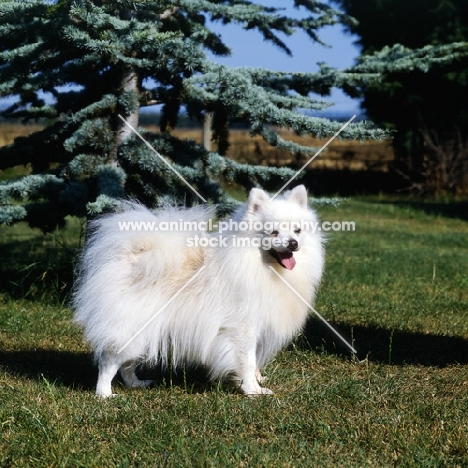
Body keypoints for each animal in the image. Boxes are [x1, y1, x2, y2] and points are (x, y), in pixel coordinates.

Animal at [73, 185, 324, 396]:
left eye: (297, 231)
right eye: (273, 233)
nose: (293, 243)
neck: (259, 265)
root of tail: (131, 256)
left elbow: (253, 361)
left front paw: (256, 380)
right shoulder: (242, 329)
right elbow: (247, 360)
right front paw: (253, 391)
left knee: (126, 363)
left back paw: (135, 383)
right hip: (131, 327)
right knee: (109, 361)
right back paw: (104, 394)